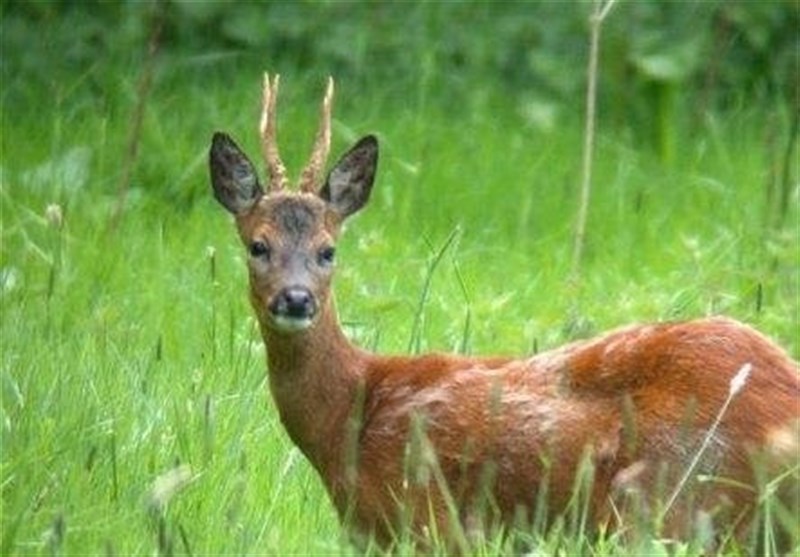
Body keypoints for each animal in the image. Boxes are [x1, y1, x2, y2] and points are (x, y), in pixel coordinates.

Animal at [208, 74, 800, 551]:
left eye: (328, 250)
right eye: (258, 246)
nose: (295, 299)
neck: (351, 416)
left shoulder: (426, 519)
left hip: (666, 499)